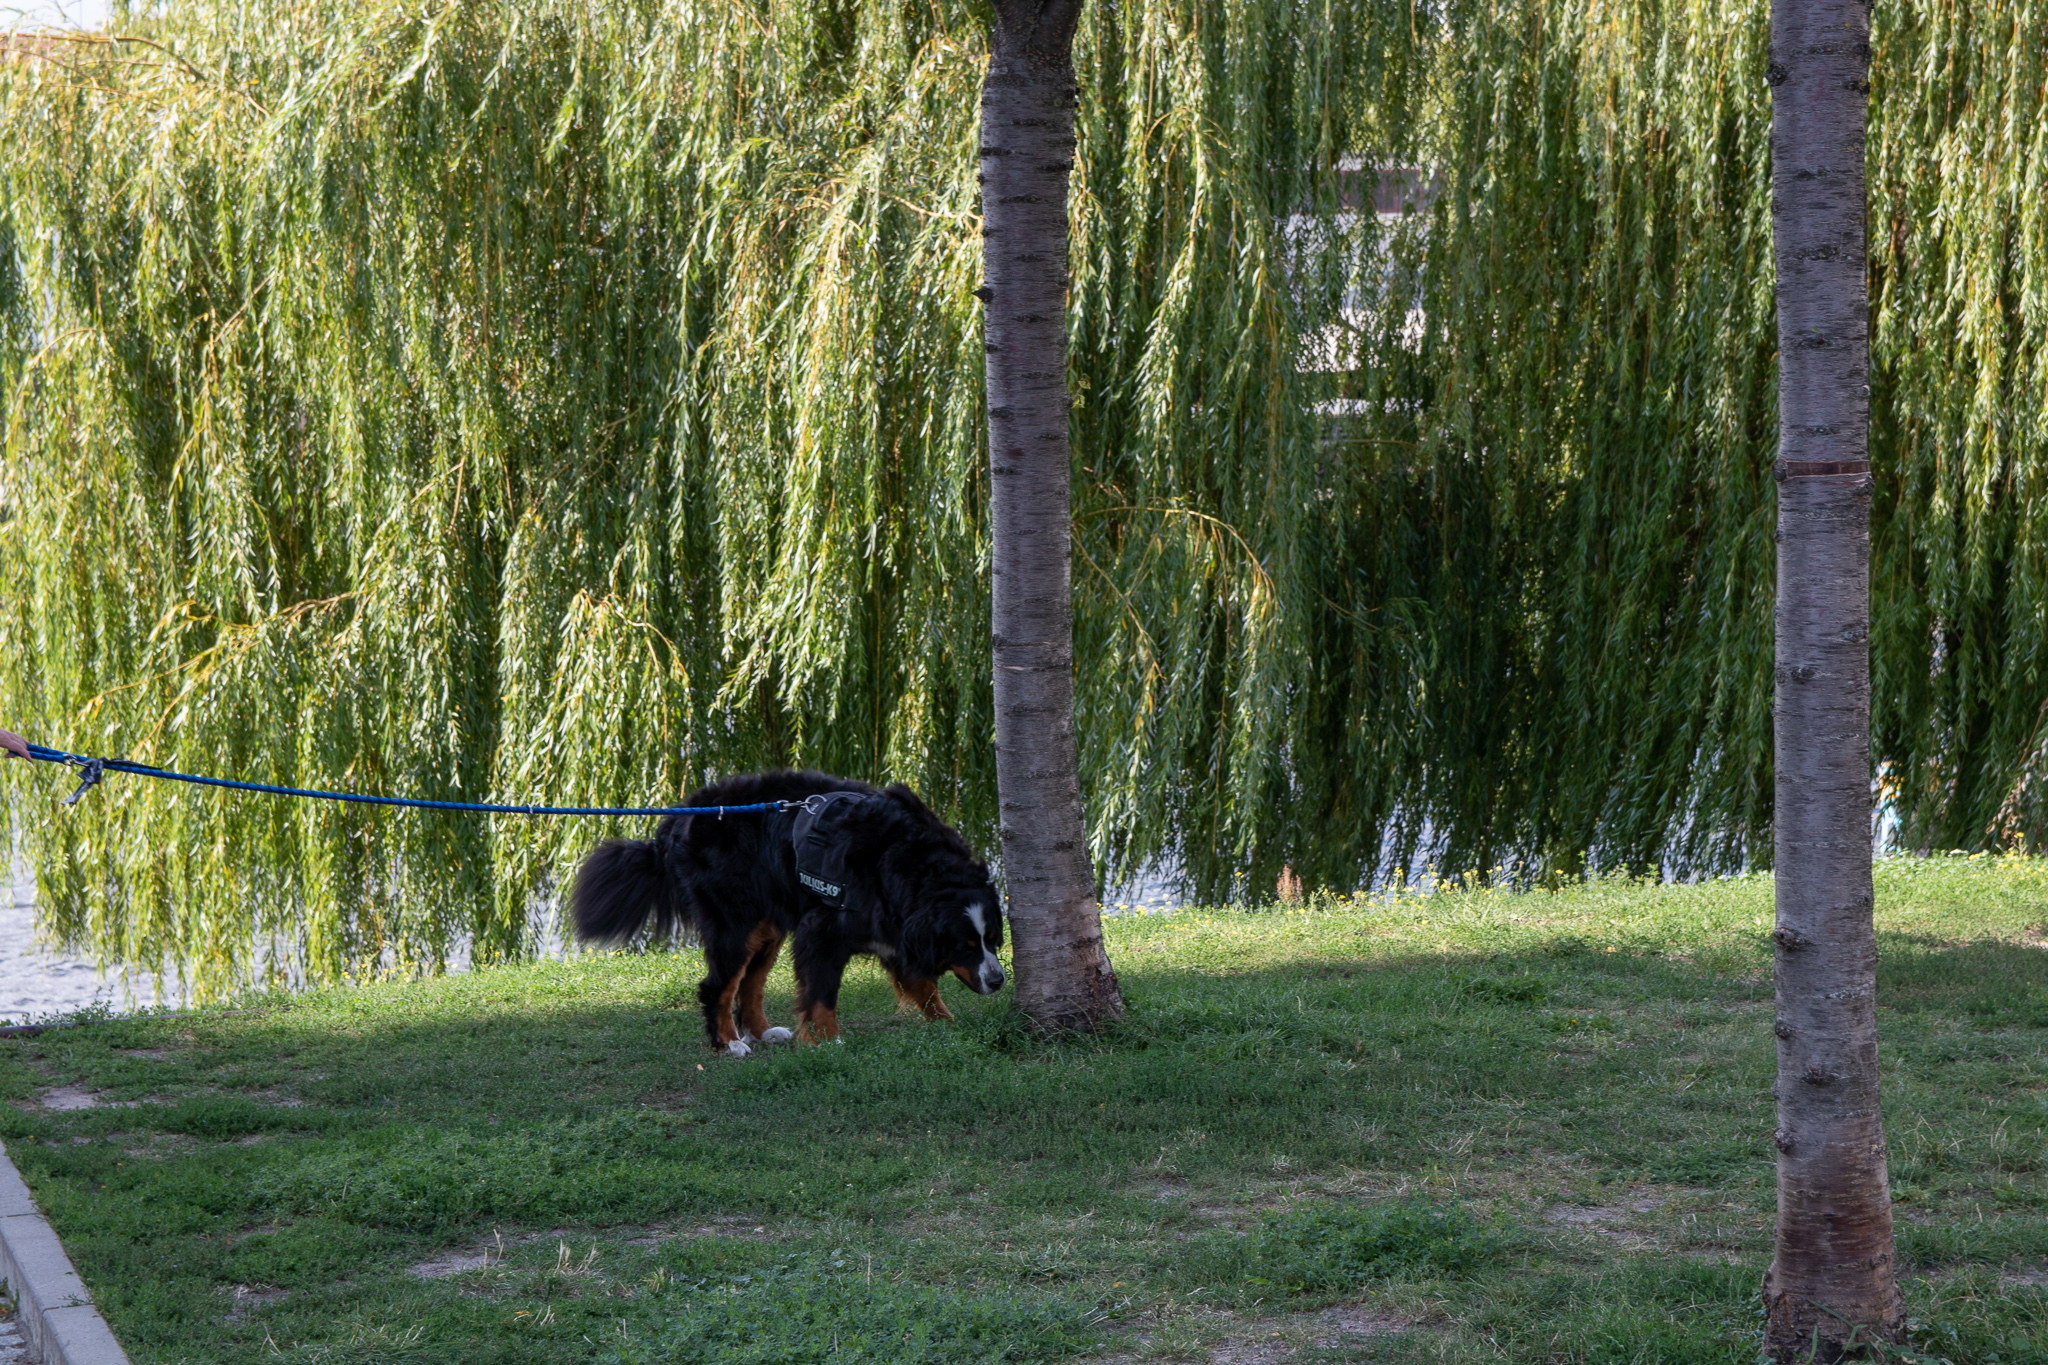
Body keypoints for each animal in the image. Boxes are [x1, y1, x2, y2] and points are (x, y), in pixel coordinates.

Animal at [569, 773, 1007, 1055]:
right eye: (966, 946)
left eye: (992, 940)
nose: (999, 980)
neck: (906, 861)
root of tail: (678, 819)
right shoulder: (823, 929)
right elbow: (822, 994)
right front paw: (826, 1041)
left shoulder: (896, 930)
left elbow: (924, 986)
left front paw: (948, 1026)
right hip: (735, 924)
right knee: (718, 986)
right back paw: (728, 1043)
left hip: (766, 928)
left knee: (750, 984)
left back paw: (763, 1033)